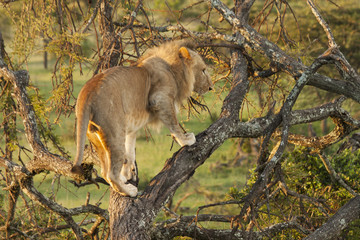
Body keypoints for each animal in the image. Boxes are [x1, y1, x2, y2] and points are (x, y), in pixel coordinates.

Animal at [71, 39, 214, 197]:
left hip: (95, 136)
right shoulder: (160, 99)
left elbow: (130, 150)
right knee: (110, 173)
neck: (172, 68)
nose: (211, 87)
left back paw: (123, 181)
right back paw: (130, 191)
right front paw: (186, 140)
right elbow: (174, 123)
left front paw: (127, 172)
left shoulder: (131, 128)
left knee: (104, 169)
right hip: (115, 132)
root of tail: (86, 92)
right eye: (203, 70)